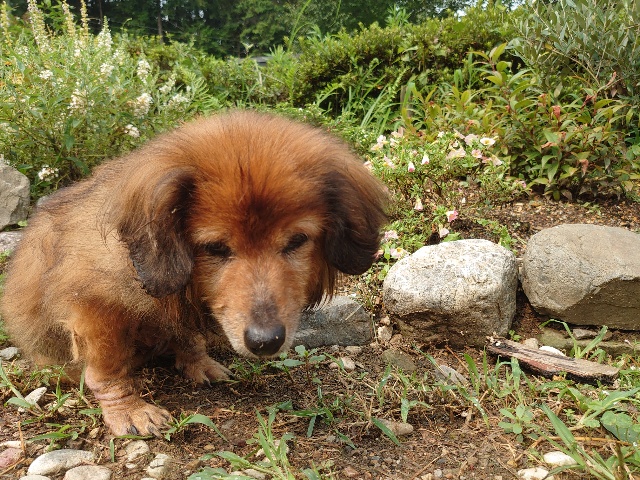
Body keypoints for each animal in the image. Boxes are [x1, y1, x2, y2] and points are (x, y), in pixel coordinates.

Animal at [1, 110, 387, 437]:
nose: (265, 342)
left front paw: (197, 361)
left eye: (296, 241)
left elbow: (187, 335)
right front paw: (129, 410)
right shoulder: (95, 305)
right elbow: (107, 369)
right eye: (215, 247)